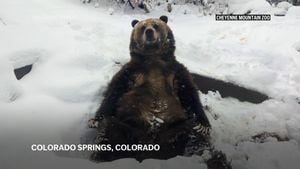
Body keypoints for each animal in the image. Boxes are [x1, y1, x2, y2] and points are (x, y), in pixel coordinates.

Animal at [88, 15, 231, 168]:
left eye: (155, 25)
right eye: (143, 27)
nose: (149, 32)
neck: (153, 59)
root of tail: (152, 150)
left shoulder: (175, 72)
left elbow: (190, 94)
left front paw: (204, 126)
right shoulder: (132, 72)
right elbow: (114, 91)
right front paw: (94, 120)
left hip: (176, 128)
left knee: (195, 136)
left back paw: (214, 159)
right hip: (129, 127)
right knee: (109, 130)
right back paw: (101, 157)